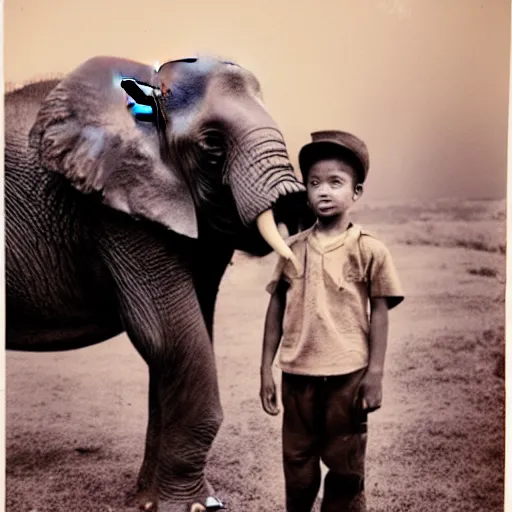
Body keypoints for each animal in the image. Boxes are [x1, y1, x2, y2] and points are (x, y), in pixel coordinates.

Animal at [6, 54, 314, 510]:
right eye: (213, 146)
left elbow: (186, 338)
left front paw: (151, 502)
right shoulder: (119, 206)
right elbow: (169, 336)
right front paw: (196, 506)